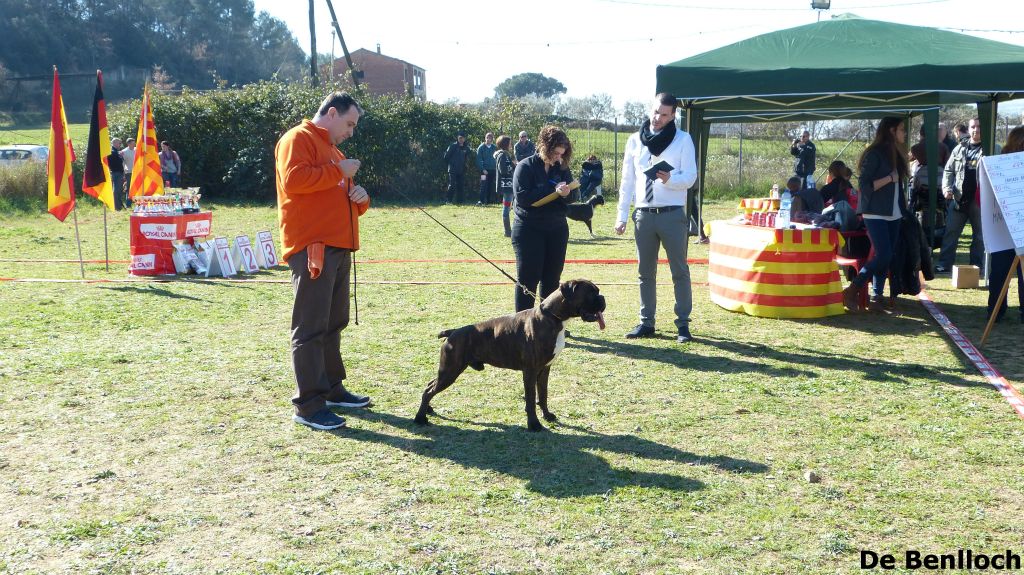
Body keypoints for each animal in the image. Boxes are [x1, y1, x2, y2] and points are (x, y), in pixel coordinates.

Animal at [415, 279, 606, 431]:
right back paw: (420, 418)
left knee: (430, 385)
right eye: (591, 293)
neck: (553, 317)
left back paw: (428, 410)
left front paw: (547, 415)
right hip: (450, 371)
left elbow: (543, 395)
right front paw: (534, 424)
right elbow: (531, 400)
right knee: (429, 391)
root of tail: (453, 332)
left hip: (447, 371)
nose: (603, 298)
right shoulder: (530, 371)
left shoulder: (544, 370)